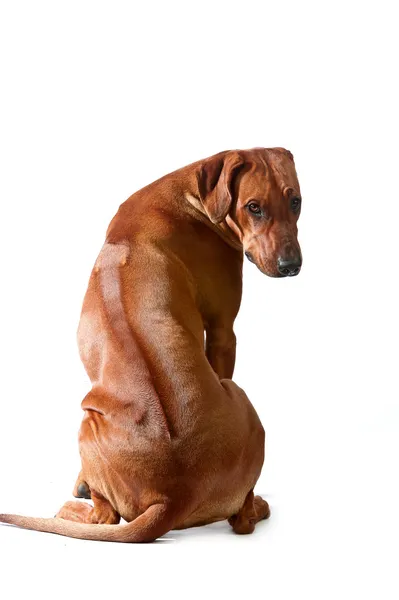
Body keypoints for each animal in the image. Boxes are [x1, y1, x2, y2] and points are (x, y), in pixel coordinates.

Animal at [0, 148, 302, 540]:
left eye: (296, 201)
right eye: (254, 207)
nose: (291, 265)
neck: (189, 196)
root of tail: (174, 496)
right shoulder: (224, 331)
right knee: (234, 519)